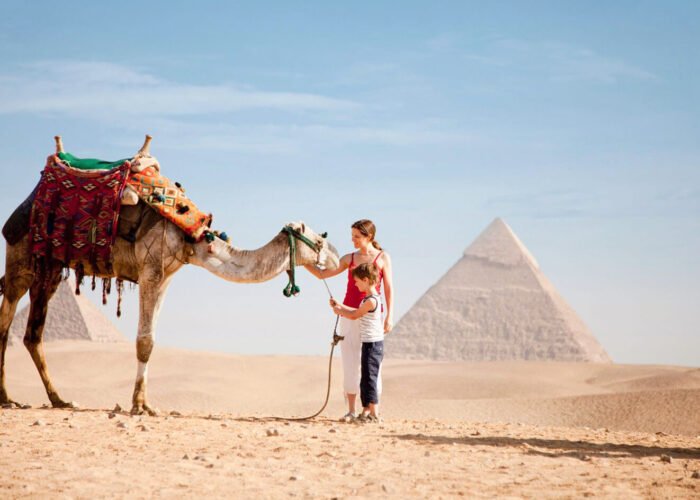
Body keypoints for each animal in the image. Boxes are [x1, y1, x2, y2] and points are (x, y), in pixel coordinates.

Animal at [0, 136, 340, 415]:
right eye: (319, 240)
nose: (337, 256)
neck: (194, 238)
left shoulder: (166, 276)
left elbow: (152, 340)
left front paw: (145, 402)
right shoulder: (151, 269)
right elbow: (144, 341)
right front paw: (139, 405)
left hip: (51, 267)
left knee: (32, 334)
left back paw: (59, 400)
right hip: (21, 255)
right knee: (6, 322)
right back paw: (8, 399)